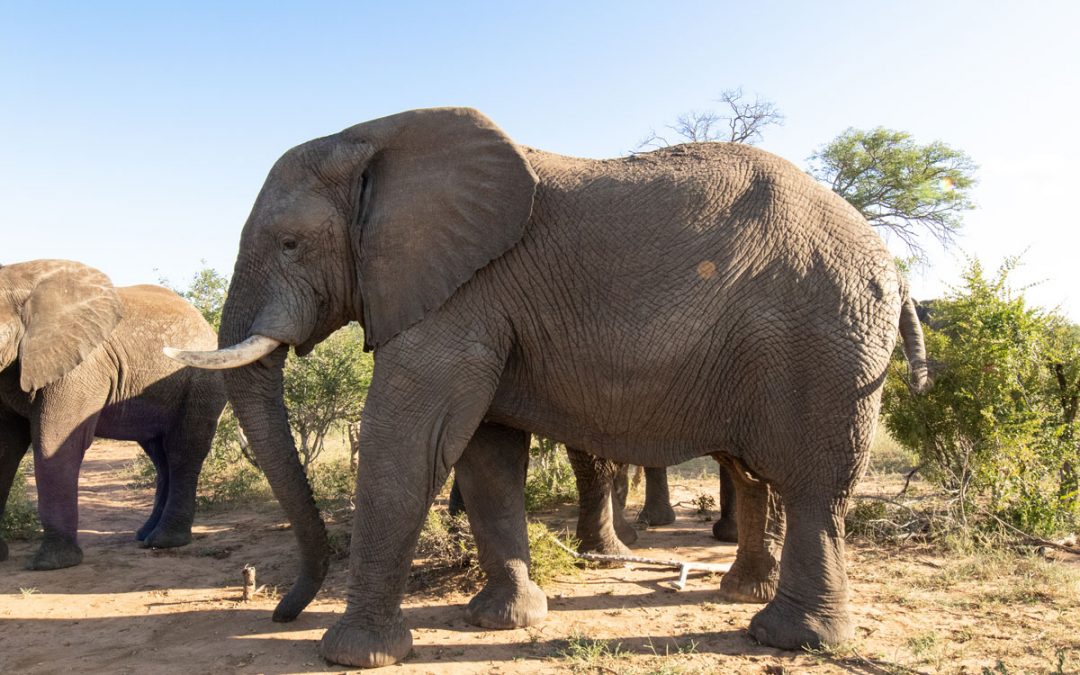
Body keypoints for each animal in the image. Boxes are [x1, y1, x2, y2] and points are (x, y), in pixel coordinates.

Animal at [0, 259, 227, 569]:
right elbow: (5, 448)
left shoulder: (80, 368)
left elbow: (55, 444)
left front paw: (51, 564)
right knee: (161, 455)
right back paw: (144, 536)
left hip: (202, 381)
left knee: (183, 450)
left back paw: (165, 541)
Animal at [167, 107, 928, 667]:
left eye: (291, 244)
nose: (278, 608)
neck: (377, 140)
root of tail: (890, 264)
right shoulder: (475, 297)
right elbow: (487, 456)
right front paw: (501, 621)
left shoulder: (463, 293)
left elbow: (409, 443)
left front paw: (352, 655)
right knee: (756, 471)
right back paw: (746, 595)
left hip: (824, 338)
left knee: (814, 485)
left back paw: (789, 638)